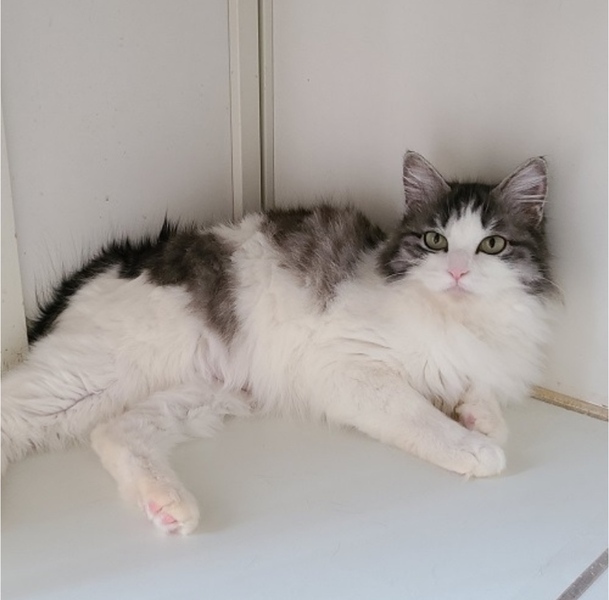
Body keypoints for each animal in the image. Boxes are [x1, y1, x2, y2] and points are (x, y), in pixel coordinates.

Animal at [1, 151, 554, 535]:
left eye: (492, 245)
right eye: (435, 241)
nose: (458, 271)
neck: (458, 318)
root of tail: (105, 265)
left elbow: (478, 389)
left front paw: (480, 417)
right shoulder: (349, 371)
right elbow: (421, 418)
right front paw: (473, 447)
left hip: (198, 395)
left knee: (114, 434)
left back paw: (168, 505)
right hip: (88, 376)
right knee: (16, 409)